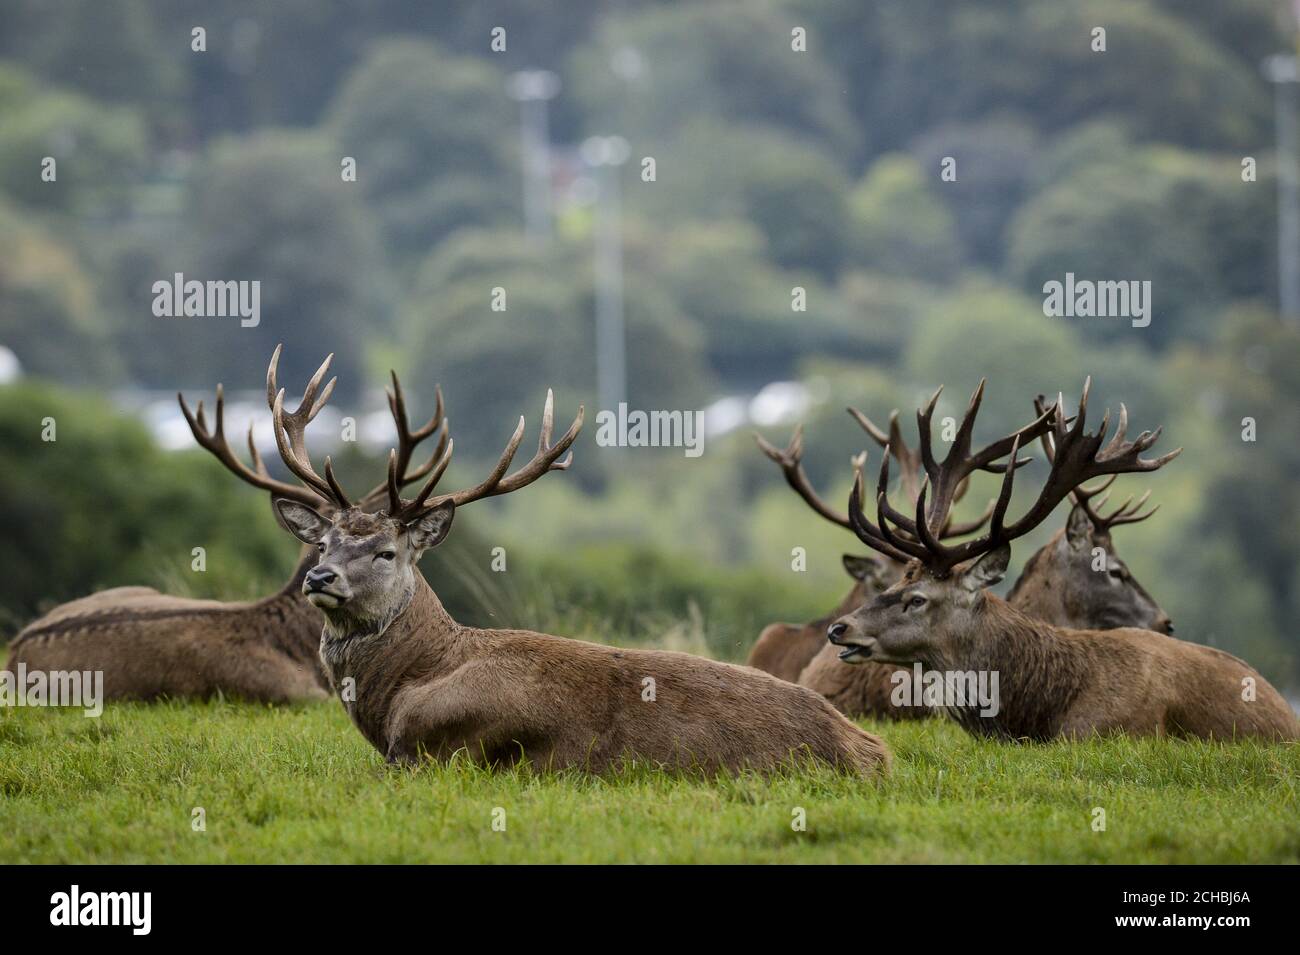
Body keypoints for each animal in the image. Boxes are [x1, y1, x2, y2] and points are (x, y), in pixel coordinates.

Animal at [267, 350, 889, 779]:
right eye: (323, 545)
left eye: (386, 551)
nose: (320, 577)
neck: (404, 689)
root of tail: (873, 753)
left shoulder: (438, 750)